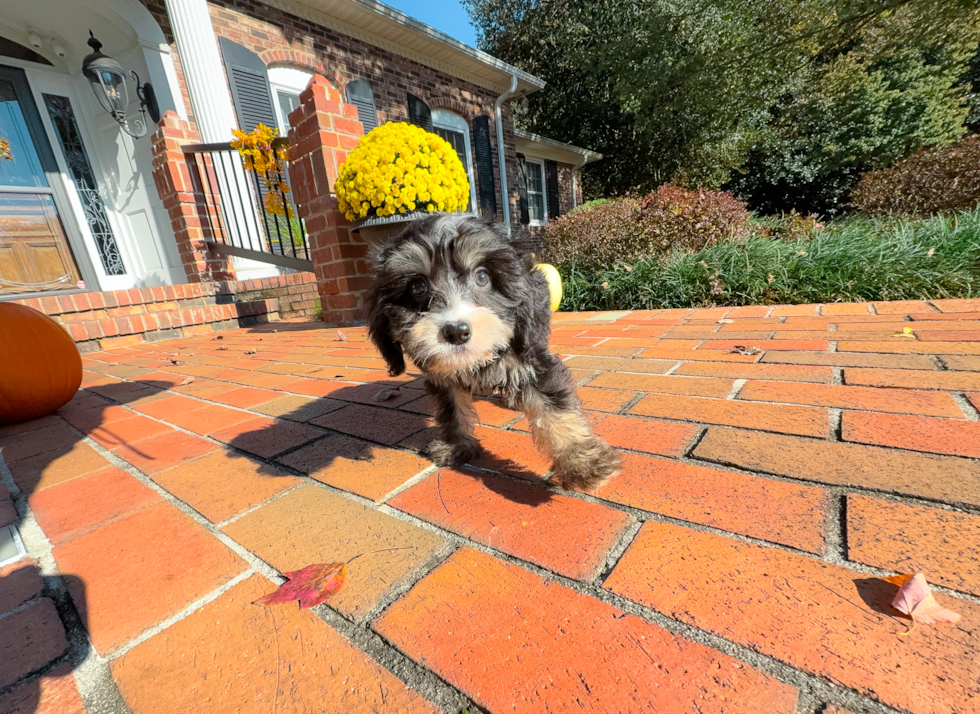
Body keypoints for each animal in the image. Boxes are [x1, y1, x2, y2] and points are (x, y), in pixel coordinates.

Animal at [368, 211, 620, 490]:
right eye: (417, 287)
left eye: (482, 277)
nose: (456, 331)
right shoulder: (442, 376)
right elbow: (452, 410)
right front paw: (456, 446)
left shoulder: (533, 359)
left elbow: (556, 410)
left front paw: (582, 461)